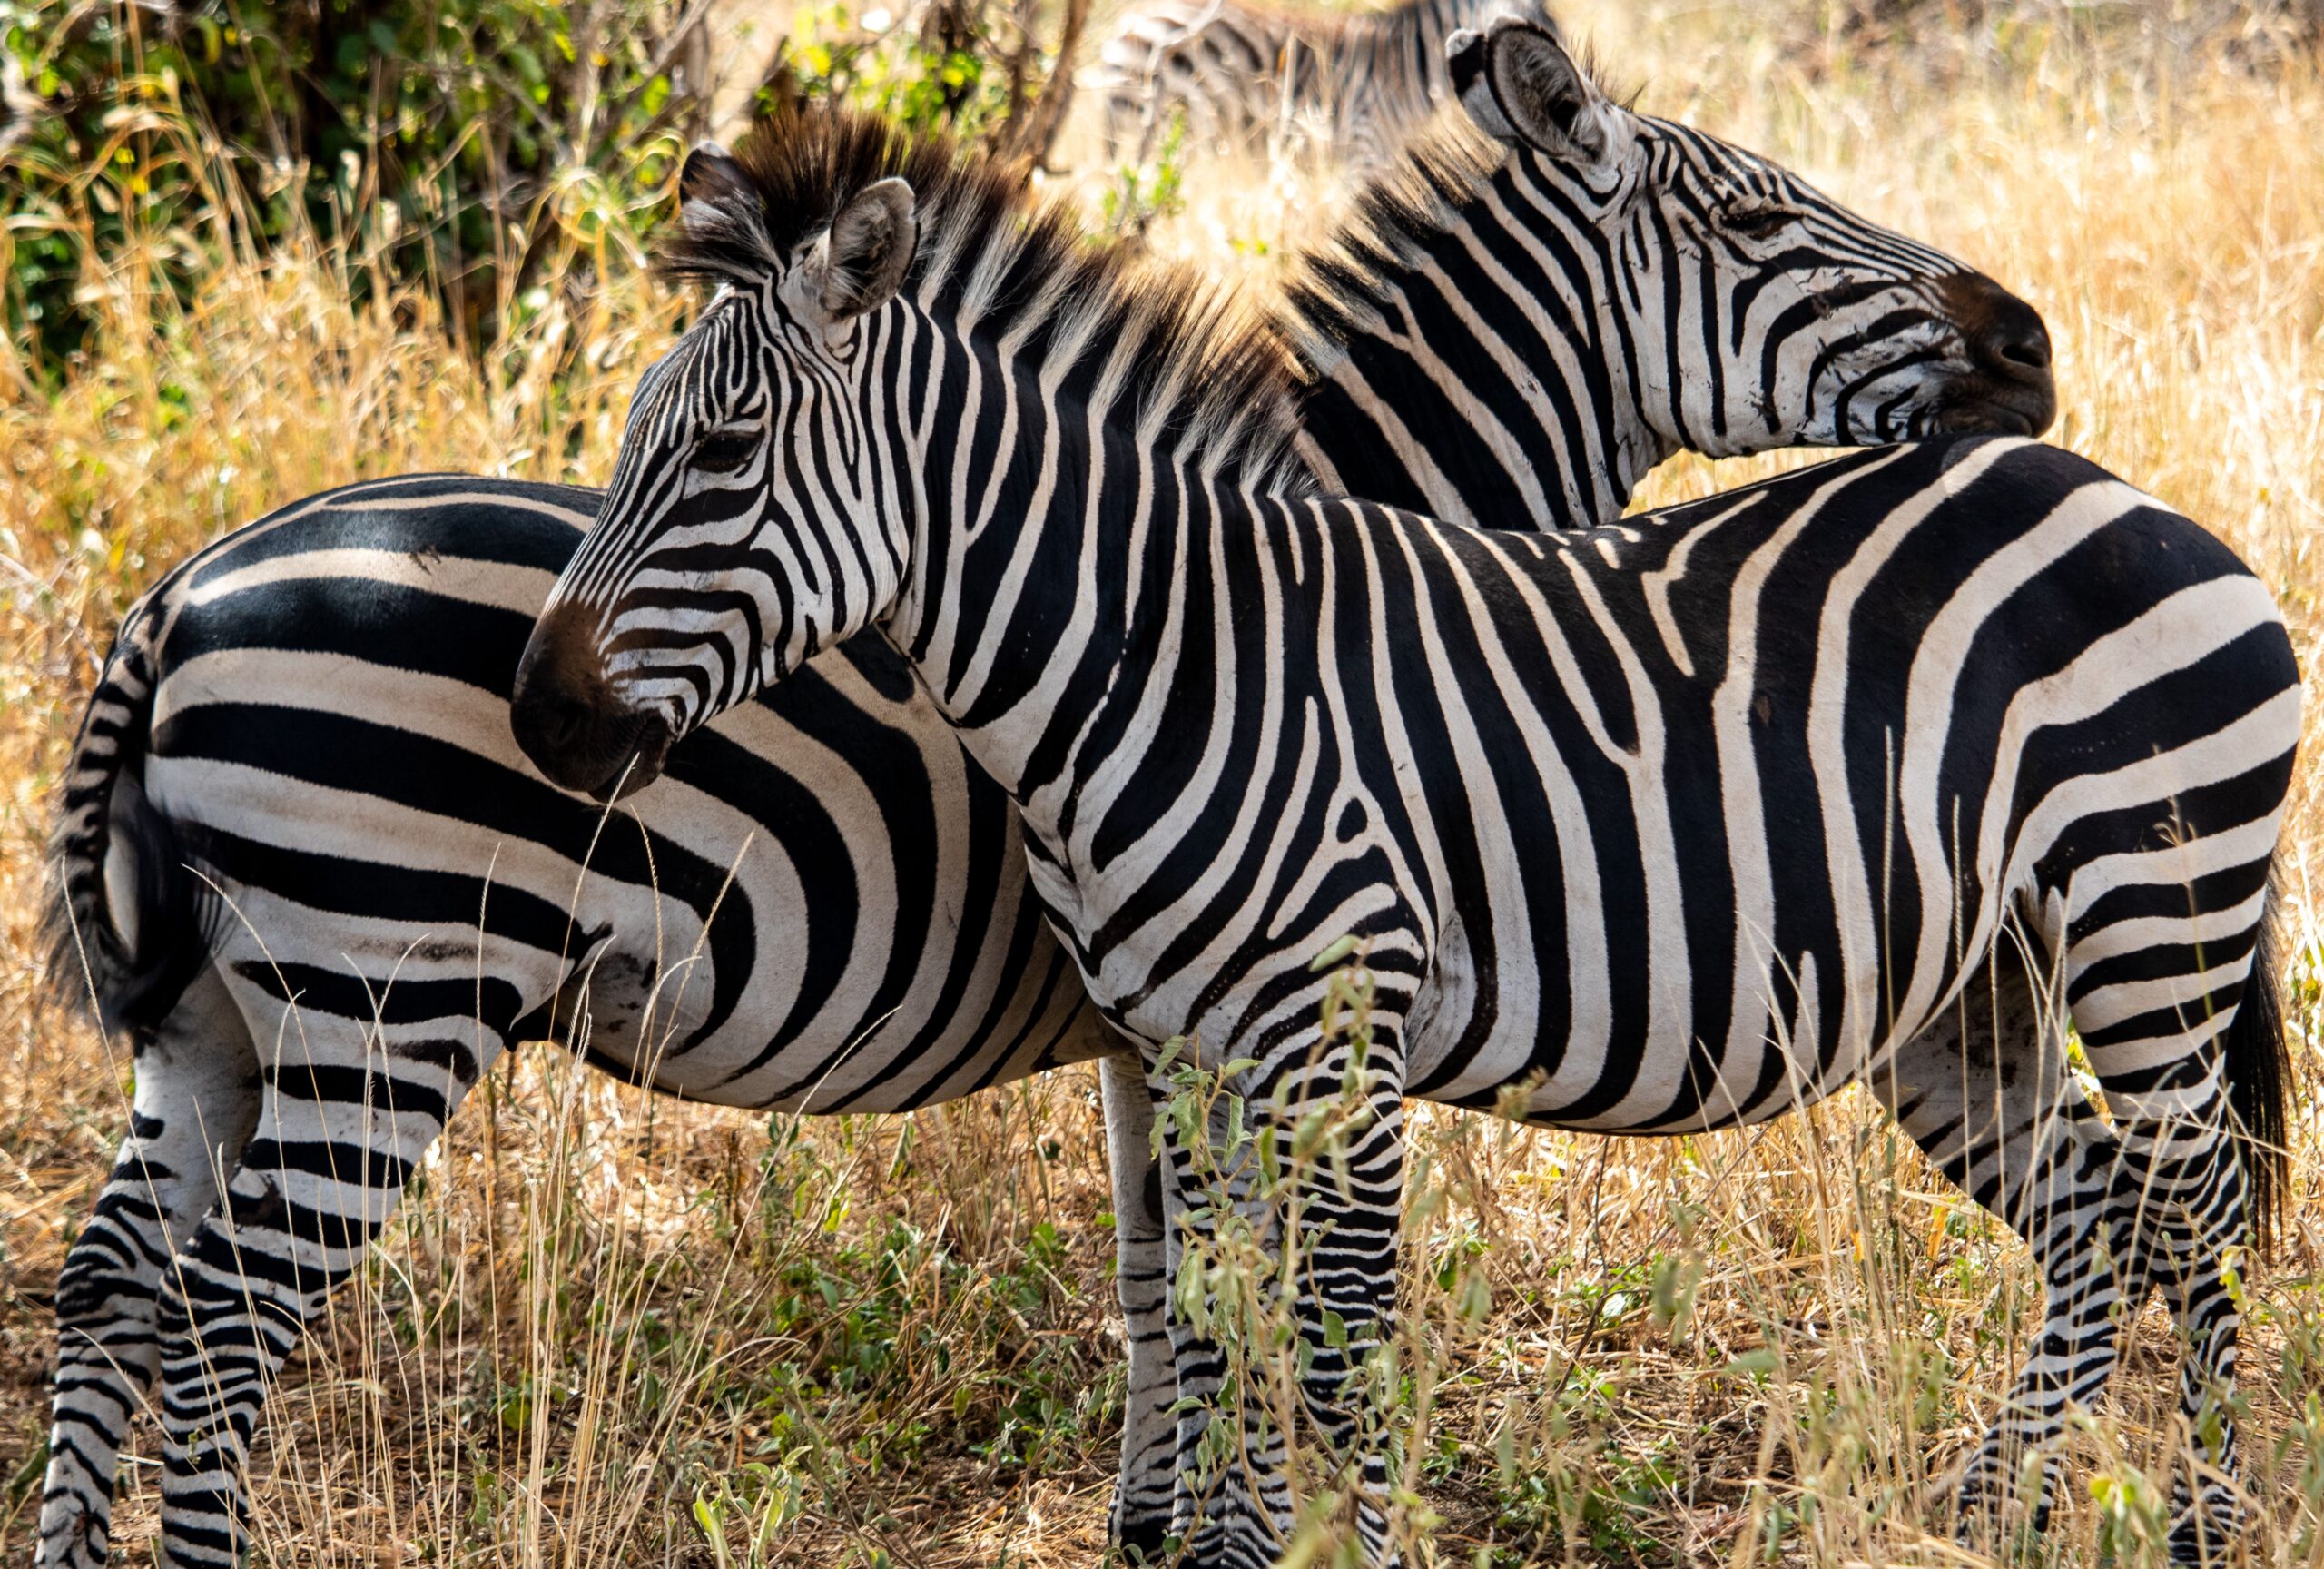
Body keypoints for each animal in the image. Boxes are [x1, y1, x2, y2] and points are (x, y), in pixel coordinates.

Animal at [35, 27, 2064, 1568]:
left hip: (218, 1018)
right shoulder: (1212, 1010)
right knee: (219, 1327)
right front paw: (1221, 1523)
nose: (2031, 340)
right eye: (1761, 211)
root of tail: (175, 591)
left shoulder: (1155, 1028)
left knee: (114, 1281)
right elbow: (1222, 1300)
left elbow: (1165, 1287)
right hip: (383, 1005)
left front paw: (1155, 1529)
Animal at [510, 31, 2300, 1567]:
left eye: (725, 454)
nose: (543, 713)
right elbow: (1211, 1313)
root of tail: (2126, 492)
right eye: (1753, 215)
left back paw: (2200, 1523)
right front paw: (1210, 1540)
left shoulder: (1340, 1042)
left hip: (2151, 916)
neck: (1157, 648)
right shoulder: (1185, 1053)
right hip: (1978, 981)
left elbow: (1329, 1343)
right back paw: (2001, 1511)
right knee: (2100, 1207)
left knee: (2195, 1212)